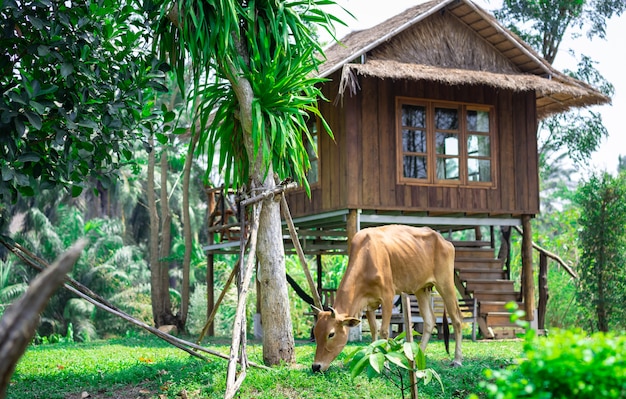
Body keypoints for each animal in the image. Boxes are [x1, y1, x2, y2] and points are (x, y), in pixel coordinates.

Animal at [310, 227, 460, 374]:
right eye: (315, 332)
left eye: (331, 334)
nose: (316, 366)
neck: (366, 257)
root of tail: (444, 240)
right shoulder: (368, 304)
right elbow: (373, 329)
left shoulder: (387, 297)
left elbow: (384, 332)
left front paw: (386, 364)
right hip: (421, 289)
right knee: (429, 320)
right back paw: (417, 358)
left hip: (445, 284)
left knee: (456, 319)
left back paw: (457, 360)